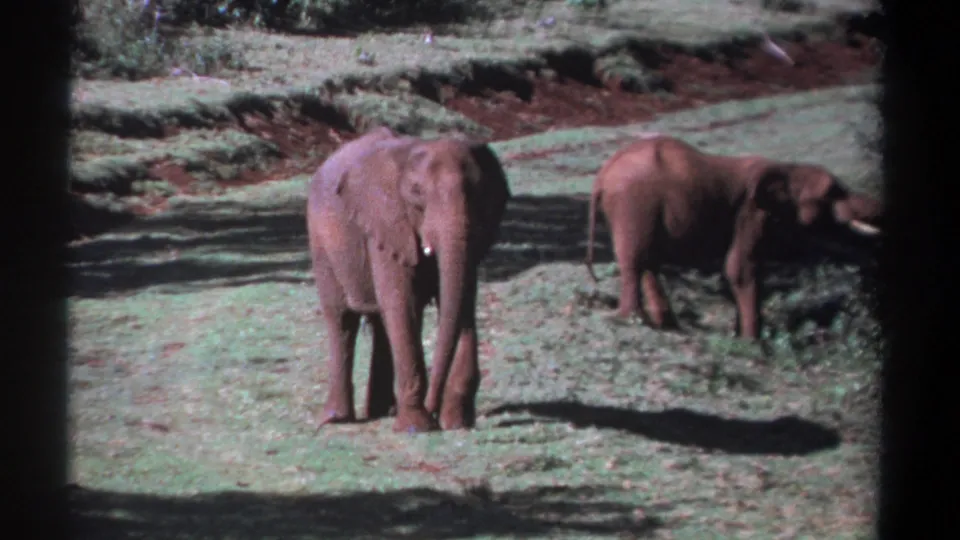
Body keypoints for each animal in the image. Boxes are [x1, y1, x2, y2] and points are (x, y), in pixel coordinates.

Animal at [306, 127, 511, 433]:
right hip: (322, 244)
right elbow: (401, 303)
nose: (433, 408)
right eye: (416, 193)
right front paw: (418, 427)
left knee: (380, 323)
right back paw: (337, 419)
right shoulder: (385, 223)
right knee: (342, 319)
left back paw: (383, 411)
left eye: (478, 191)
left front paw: (457, 423)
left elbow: (462, 301)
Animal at [584, 135, 882, 340]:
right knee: (636, 261)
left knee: (647, 260)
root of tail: (603, 175)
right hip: (634, 204)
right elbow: (740, 269)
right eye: (832, 192)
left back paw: (665, 325)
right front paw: (753, 344)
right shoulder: (751, 214)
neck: (787, 169)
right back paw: (632, 320)